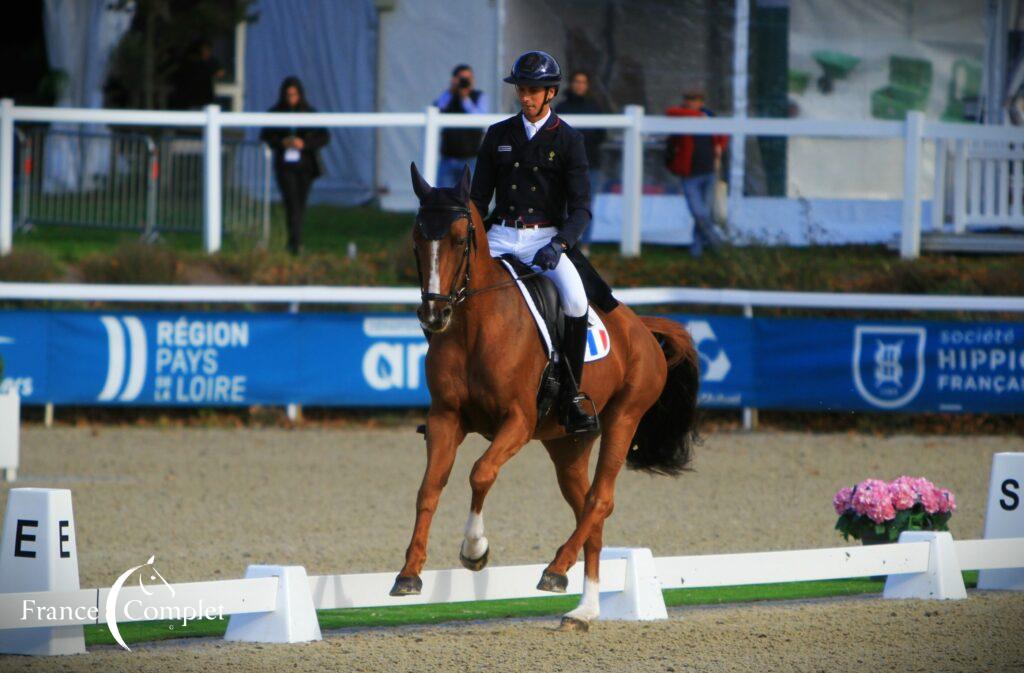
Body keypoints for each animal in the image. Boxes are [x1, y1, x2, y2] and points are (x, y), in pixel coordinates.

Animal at [387, 163, 700, 631]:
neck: (473, 325)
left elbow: (481, 473)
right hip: (568, 444)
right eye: (417, 239)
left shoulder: (517, 421)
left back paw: (555, 570)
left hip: (624, 418)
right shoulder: (445, 417)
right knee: (589, 510)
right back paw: (583, 609)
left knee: (601, 499)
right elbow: (429, 488)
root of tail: (642, 327)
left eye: (460, 239)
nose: (434, 314)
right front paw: (409, 574)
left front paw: (475, 550)